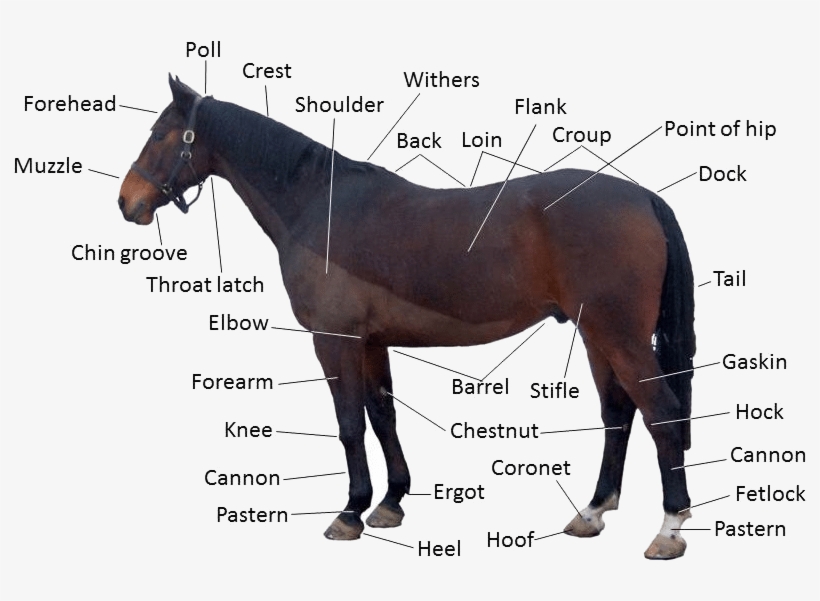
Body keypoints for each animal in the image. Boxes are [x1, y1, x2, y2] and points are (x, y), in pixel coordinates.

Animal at [118, 76, 696, 559]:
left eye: (161, 135)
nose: (127, 202)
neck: (320, 205)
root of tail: (642, 197)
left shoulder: (334, 339)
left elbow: (349, 422)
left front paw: (349, 512)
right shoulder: (372, 342)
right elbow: (382, 416)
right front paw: (390, 502)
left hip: (617, 335)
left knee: (661, 413)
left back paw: (668, 530)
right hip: (597, 335)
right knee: (618, 414)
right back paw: (592, 512)